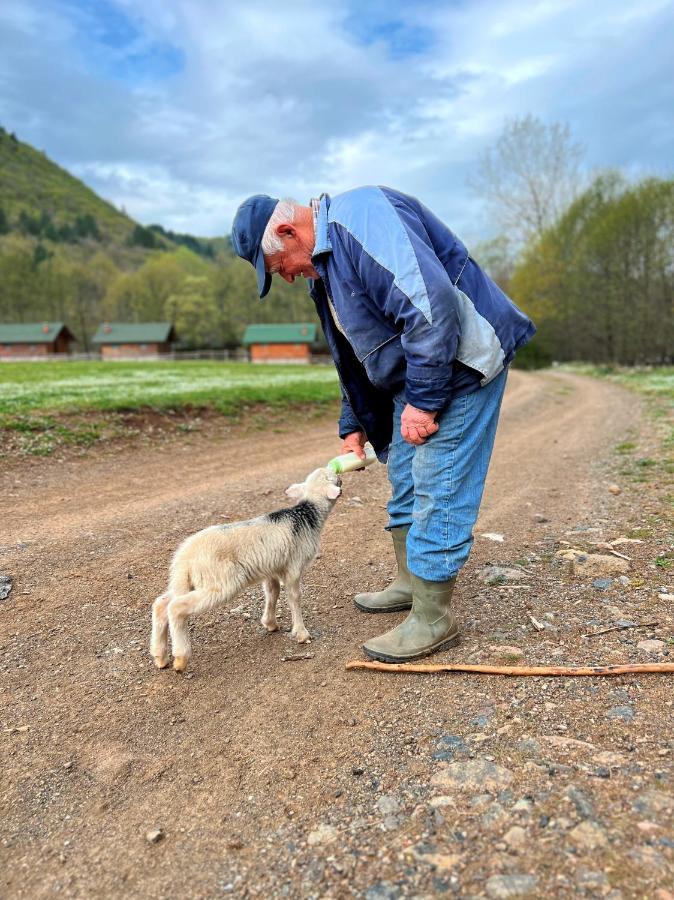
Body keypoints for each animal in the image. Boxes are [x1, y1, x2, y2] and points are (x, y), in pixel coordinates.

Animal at [151, 468, 342, 672]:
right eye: (335, 478)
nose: (340, 476)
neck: (307, 514)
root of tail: (184, 557)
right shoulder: (294, 567)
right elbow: (294, 597)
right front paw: (301, 633)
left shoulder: (272, 568)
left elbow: (272, 592)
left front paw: (270, 623)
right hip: (220, 582)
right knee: (176, 607)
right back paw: (180, 658)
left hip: (190, 580)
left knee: (161, 604)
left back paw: (160, 656)